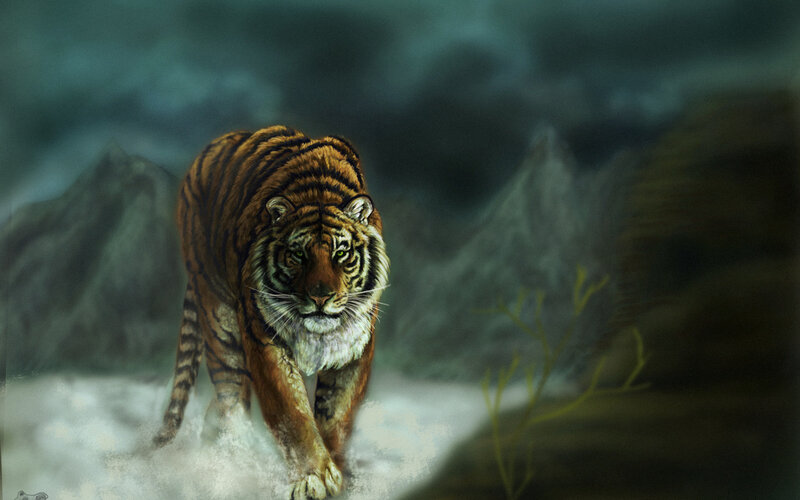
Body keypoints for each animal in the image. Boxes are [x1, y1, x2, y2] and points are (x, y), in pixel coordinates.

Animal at [153, 125, 390, 500]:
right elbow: (292, 412)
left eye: (341, 254)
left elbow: (337, 413)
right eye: (298, 254)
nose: (321, 297)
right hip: (218, 317)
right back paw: (233, 460)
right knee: (230, 394)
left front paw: (337, 473)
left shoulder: (355, 346)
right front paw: (313, 476)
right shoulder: (264, 337)